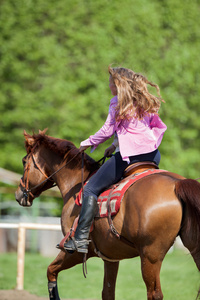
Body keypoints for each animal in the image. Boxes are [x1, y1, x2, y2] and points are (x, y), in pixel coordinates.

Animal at [15, 129, 200, 300]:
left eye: (24, 161)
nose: (18, 194)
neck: (77, 184)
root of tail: (177, 183)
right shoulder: (111, 258)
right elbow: (108, 292)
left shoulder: (75, 252)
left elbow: (51, 271)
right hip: (191, 249)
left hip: (150, 257)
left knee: (154, 294)